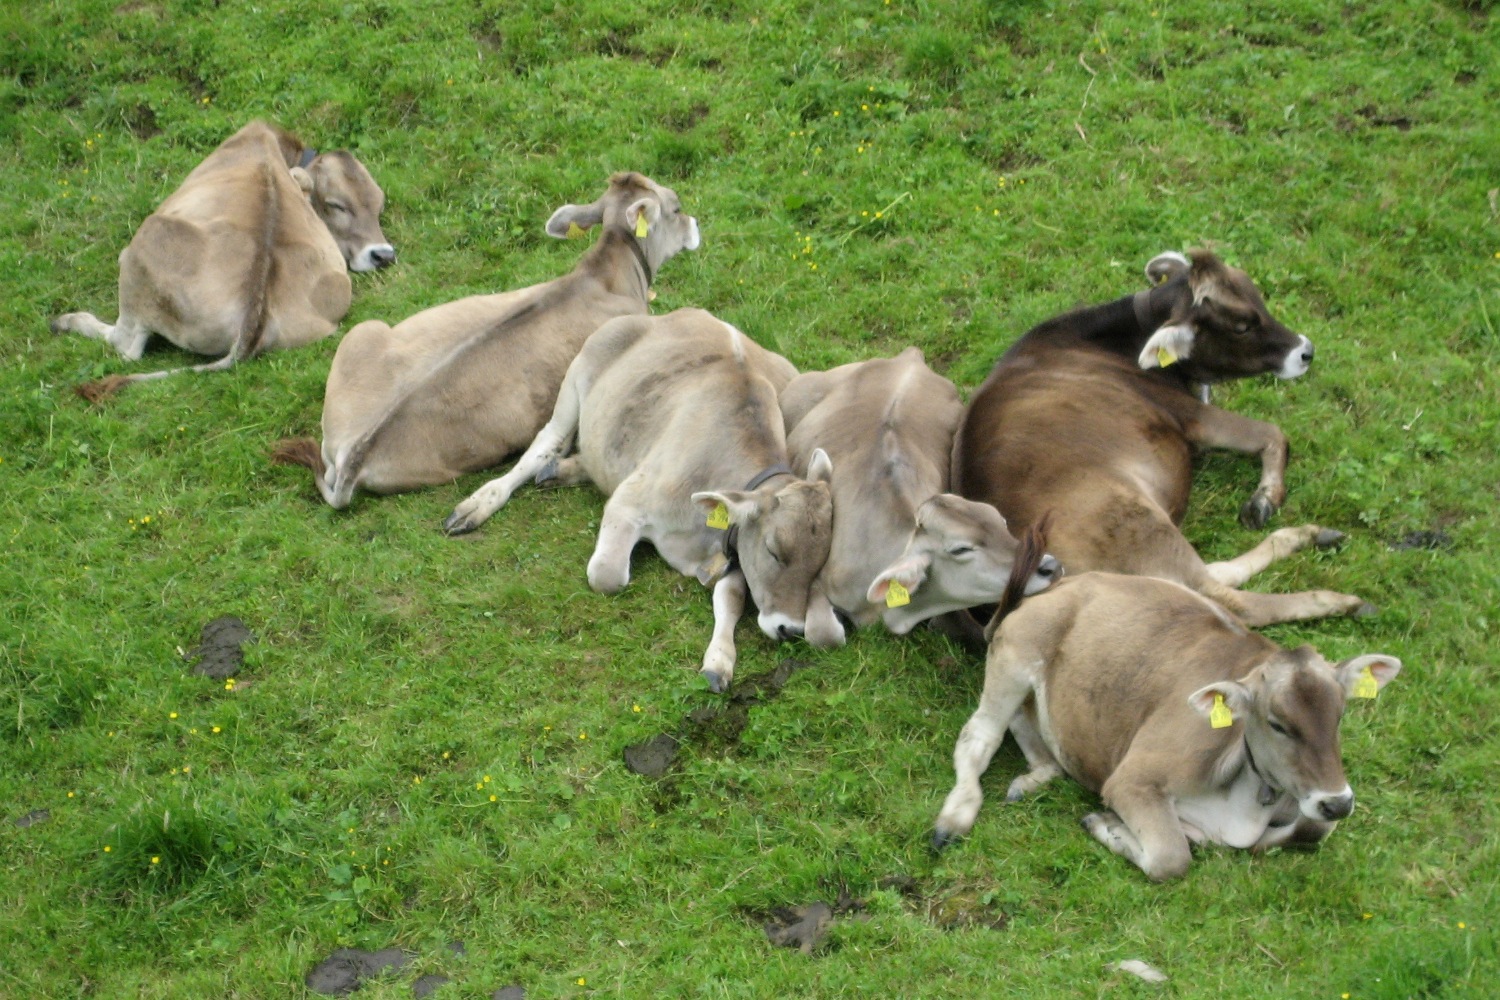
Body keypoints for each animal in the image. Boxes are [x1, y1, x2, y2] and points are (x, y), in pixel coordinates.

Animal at [53, 120, 393, 400]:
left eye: (378, 205)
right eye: (337, 205)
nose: (384, 254)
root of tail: (255, 320)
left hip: (150, 238)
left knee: (127, 347)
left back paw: (67, 321)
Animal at [443, 308, 834, 693]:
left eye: (820, 564)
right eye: (773, 551)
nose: (790, 629)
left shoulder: (732, 553)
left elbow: (731, 599)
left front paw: (718, 661)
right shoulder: (627, 506)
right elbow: (607, 576)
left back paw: (563, 471)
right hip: (578, 374)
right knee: (544, 444)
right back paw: (479, 504)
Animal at [778, 347, 1059, 647]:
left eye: (1002, 522)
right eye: (960, 549)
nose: (1049, 565)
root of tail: (910, 356)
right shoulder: (818, 581)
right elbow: (825, 635)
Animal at [931, 571, 1401, 881]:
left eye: (1340, 715)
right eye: (1277, 724)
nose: (1337, 802)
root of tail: (1064, 582)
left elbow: (1312, 829)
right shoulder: (1131, 780)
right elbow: (1170, 858)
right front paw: (1107, 825)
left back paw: (1031, 779)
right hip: (1015, 655)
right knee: (979, 735)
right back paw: (953, 819)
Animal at [950, 249, 1372, 626]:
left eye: (1259, 298)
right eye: (1241, 325)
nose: (1306, 350)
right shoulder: (1192, 416)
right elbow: (1271, 432)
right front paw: (1266, 497)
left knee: (1211, 577)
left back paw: (1309, 535)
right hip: (1138, 522)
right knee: (1228, 600)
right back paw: (1338, 599)